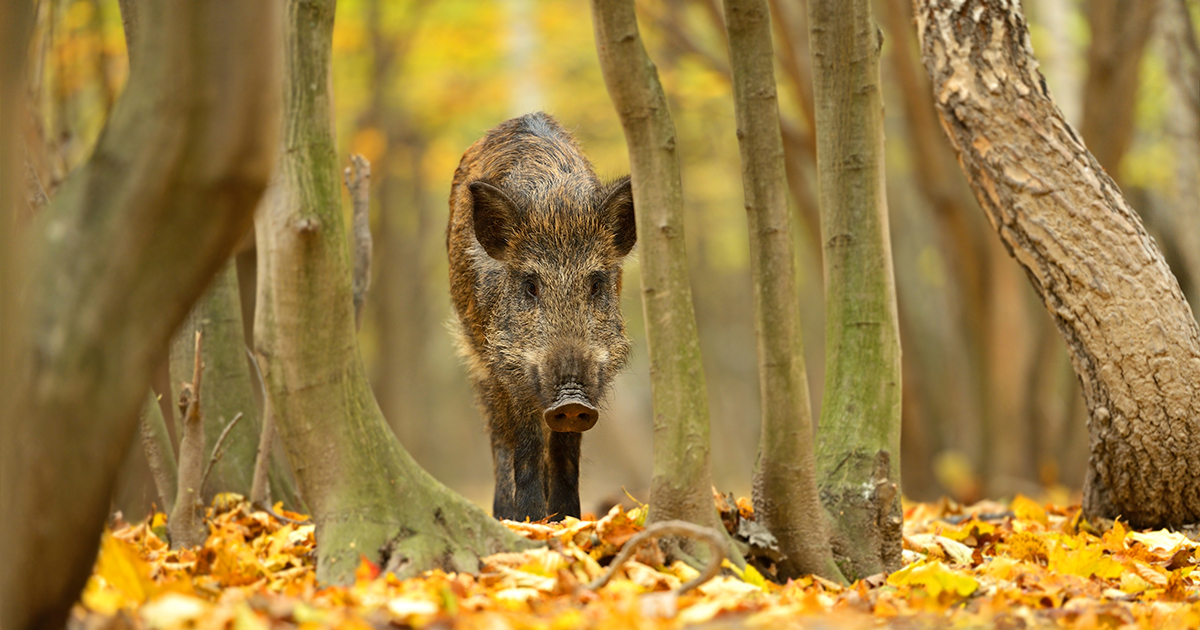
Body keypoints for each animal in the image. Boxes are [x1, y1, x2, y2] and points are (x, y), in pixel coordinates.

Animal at [447, 112, 636, 521]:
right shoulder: (507, 364)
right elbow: (526, 444)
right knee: (499, 435)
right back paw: (504, 514)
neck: (557, 205)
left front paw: (567, 521)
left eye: (596, 284)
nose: (571, 399)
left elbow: (566, 451)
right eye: (531, 285)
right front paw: (532, 521)